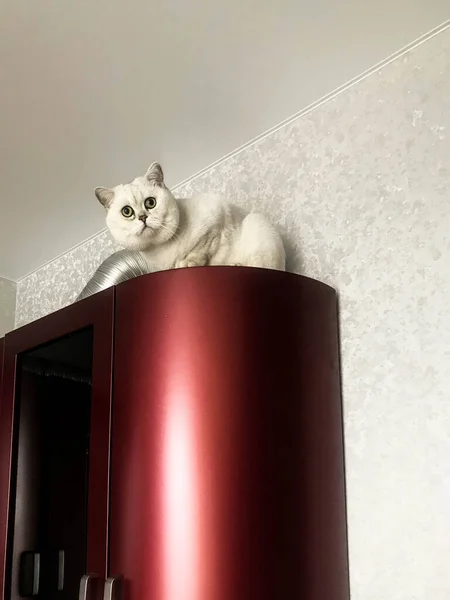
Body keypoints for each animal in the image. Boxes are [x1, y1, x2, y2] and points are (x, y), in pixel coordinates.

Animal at [95, 161, 284, 270]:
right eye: (127, 212)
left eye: (150, 203)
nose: (142, 217)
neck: (158, 251)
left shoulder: (215, 215)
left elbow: (201, 248)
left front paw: (186, 263)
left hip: (258, 226)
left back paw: (235, 264)